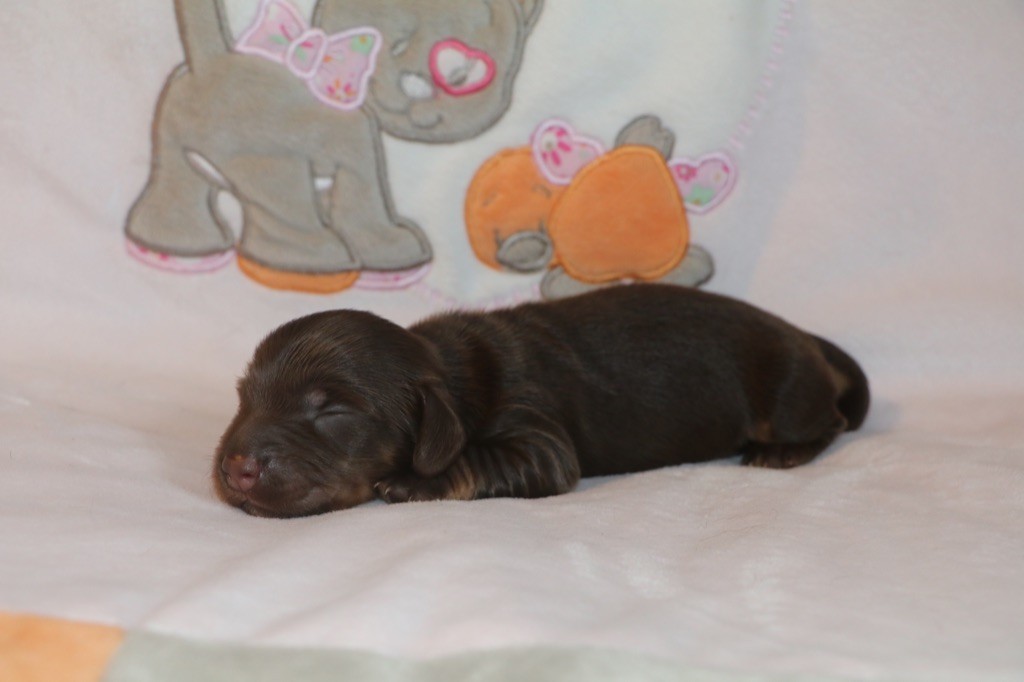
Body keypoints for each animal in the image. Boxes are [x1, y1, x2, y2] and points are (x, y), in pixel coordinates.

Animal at [214, 284, 870, 518]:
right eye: (243, 397)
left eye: (332, 410)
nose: (236, 468)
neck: (449, 371)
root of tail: (803, 336)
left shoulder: (537, 431)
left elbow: (488, 457)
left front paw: (415, 483)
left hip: (784, 390)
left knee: (832, 419)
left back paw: (780, 453)